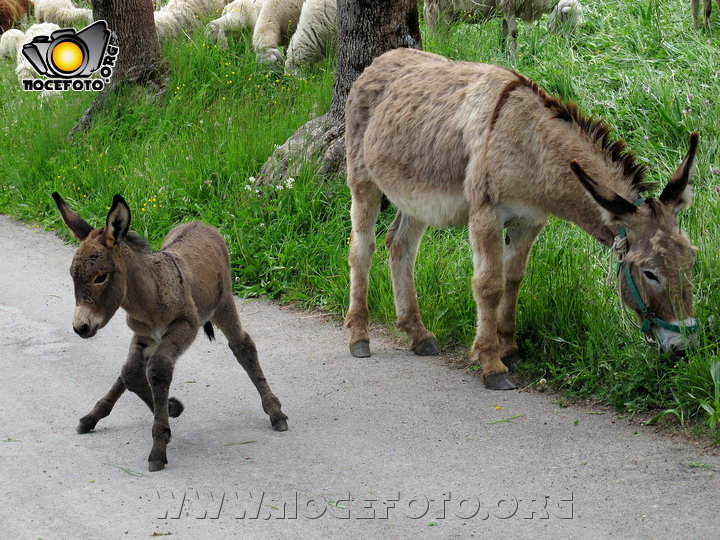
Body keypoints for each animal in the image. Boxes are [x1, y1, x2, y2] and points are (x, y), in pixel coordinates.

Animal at [53, 192, 286, 470]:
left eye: (100, 278)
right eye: (72, 277)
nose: (81, 327)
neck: (148, 295)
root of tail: (200, 222)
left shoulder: (184, 326)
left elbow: (158, 368)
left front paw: (159, 443)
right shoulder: (143, 335)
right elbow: (130, 373)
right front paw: (170, 407)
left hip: (223, 304)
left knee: (243, 346)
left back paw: (275, 412)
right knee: (128, 372)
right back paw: (92, 417)